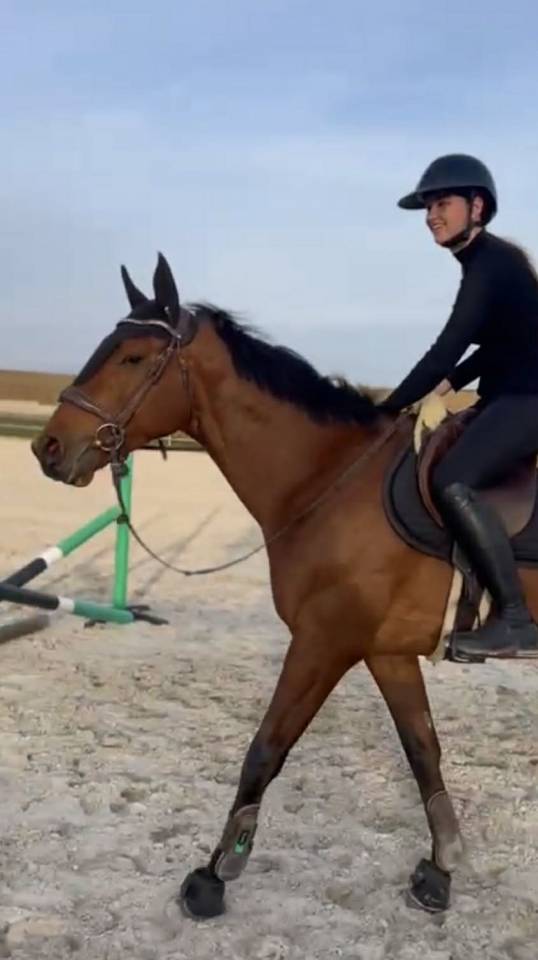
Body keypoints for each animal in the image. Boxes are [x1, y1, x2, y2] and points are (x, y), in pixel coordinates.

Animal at [31, 253, 538, 921]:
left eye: (133, 358)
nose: (47, 447)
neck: (328, 477)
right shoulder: (384, 649)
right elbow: (422, 749)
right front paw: (441, 868)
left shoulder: (324, 641)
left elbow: (265, 749)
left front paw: (215, 874)